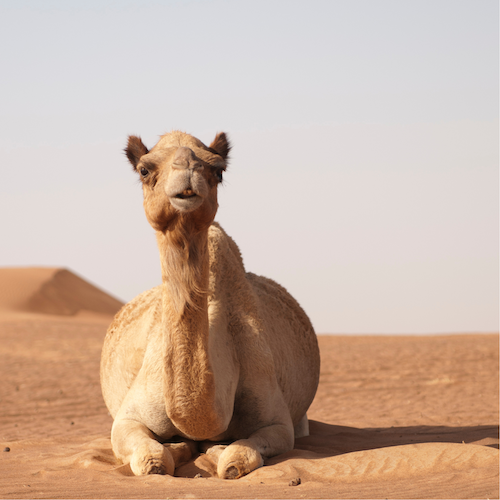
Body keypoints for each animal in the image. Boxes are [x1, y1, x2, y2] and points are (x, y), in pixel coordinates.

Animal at [100, 131, 320, 478]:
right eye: (145, 170)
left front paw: (212, 450)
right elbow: (154, 462)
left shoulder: (278, 423)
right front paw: (179, 447)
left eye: (218, 170)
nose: (187, 170)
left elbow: (234, 460)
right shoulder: (127, 419)